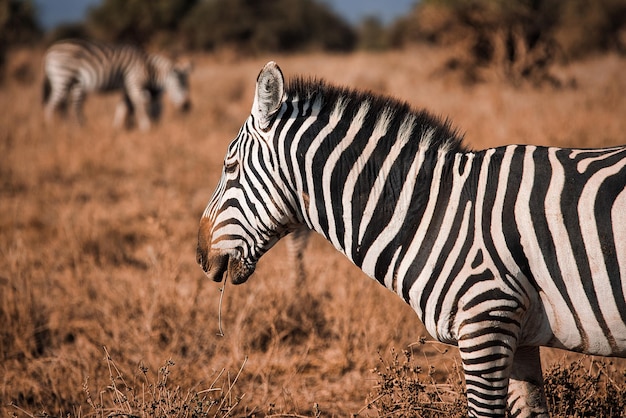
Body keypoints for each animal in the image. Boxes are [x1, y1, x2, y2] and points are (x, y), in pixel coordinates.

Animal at [42, 39, 191, 131]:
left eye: (188, 86)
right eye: (180, 84)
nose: (187, 107)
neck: (148, 68)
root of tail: (50, 50)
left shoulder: (127, 87)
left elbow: (122, 106)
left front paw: (118, 128)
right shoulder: (133, 83)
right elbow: (139, 105)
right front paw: (145, 127)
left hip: (74, 83)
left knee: (70, 106)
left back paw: (74, 127)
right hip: (62, 78)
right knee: (51, 105)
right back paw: (52, 128)